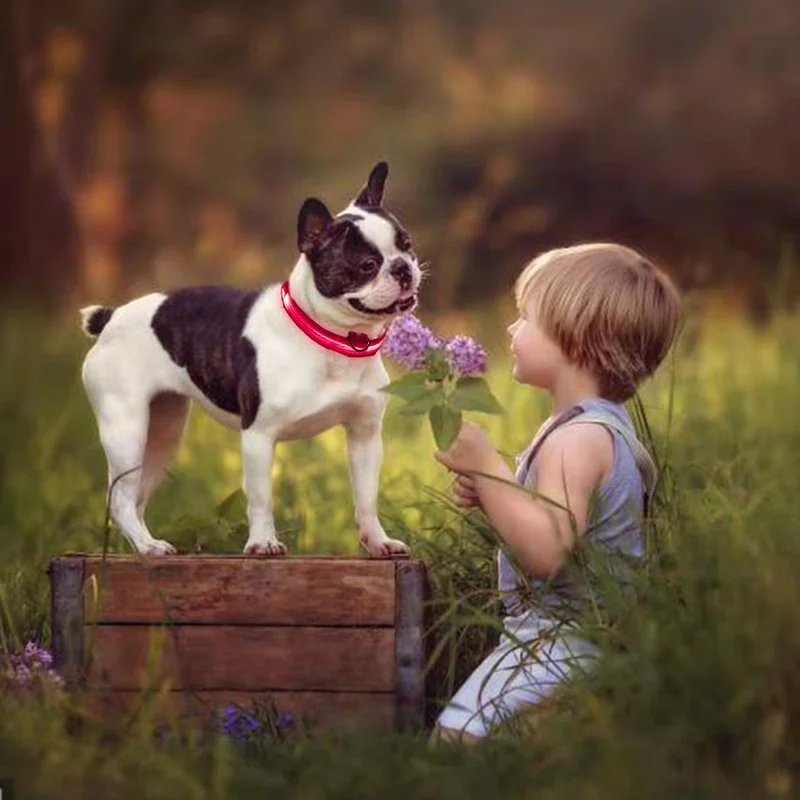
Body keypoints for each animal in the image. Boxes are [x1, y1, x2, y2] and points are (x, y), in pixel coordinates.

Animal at [78, 164, 422, 556]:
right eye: (367, 265)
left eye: (407, 246)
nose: (402, 268)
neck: (335, 341)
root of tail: (110, 317)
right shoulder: (258, 436)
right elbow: (260, 498)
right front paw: (262, 542)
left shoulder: (364, 435)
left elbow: (366, 497)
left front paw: (378, 541)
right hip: (126, 428)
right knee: (121, 498)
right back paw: (150, 547)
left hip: (163, 432)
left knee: (134, 496)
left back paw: (144, 543)